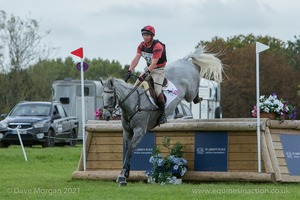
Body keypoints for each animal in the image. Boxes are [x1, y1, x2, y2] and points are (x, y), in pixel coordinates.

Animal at [102, 45, 223, 186]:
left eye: (111, 97)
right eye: (102, 96)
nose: (106, 116)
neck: (133, 103)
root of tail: (184, 60)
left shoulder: (139, 131)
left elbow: (130, 151)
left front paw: (122, 177)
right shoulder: (127, 131)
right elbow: (127, 151)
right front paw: (125, 174)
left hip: (190, 92)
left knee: (195, 84)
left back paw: (199, 94)